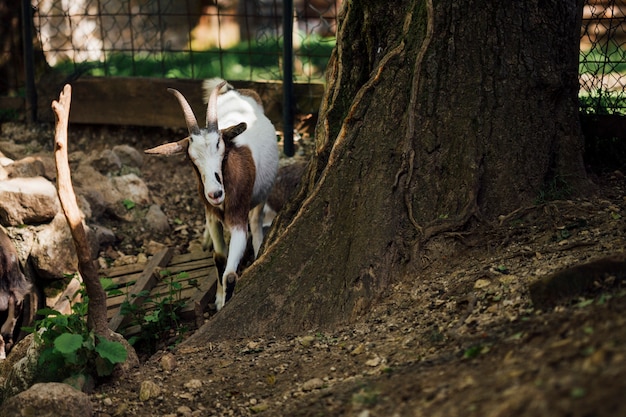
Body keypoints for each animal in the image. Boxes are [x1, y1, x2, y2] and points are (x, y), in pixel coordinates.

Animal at [145, 79, 276, 310]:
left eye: (219, 145)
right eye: (191, 156)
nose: (215, 193)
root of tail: (234, 90)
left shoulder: (237, 219)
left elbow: (230, 274)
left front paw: (223, 304)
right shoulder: (214, 217)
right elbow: (219, 258)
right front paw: (219, 297)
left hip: (262, 193)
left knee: (256, 218)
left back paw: (259, 245)